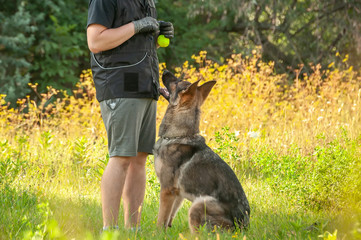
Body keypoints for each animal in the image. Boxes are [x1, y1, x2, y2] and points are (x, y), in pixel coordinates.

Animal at [153, 70, 250, 232]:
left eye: (177, 81)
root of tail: (242, 227)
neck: (178, 135)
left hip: (198, 205)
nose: (165, 71)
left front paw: (157, 234)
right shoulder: (177, 194)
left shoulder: (167, 190)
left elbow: (161, 220)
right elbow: (169, 218)